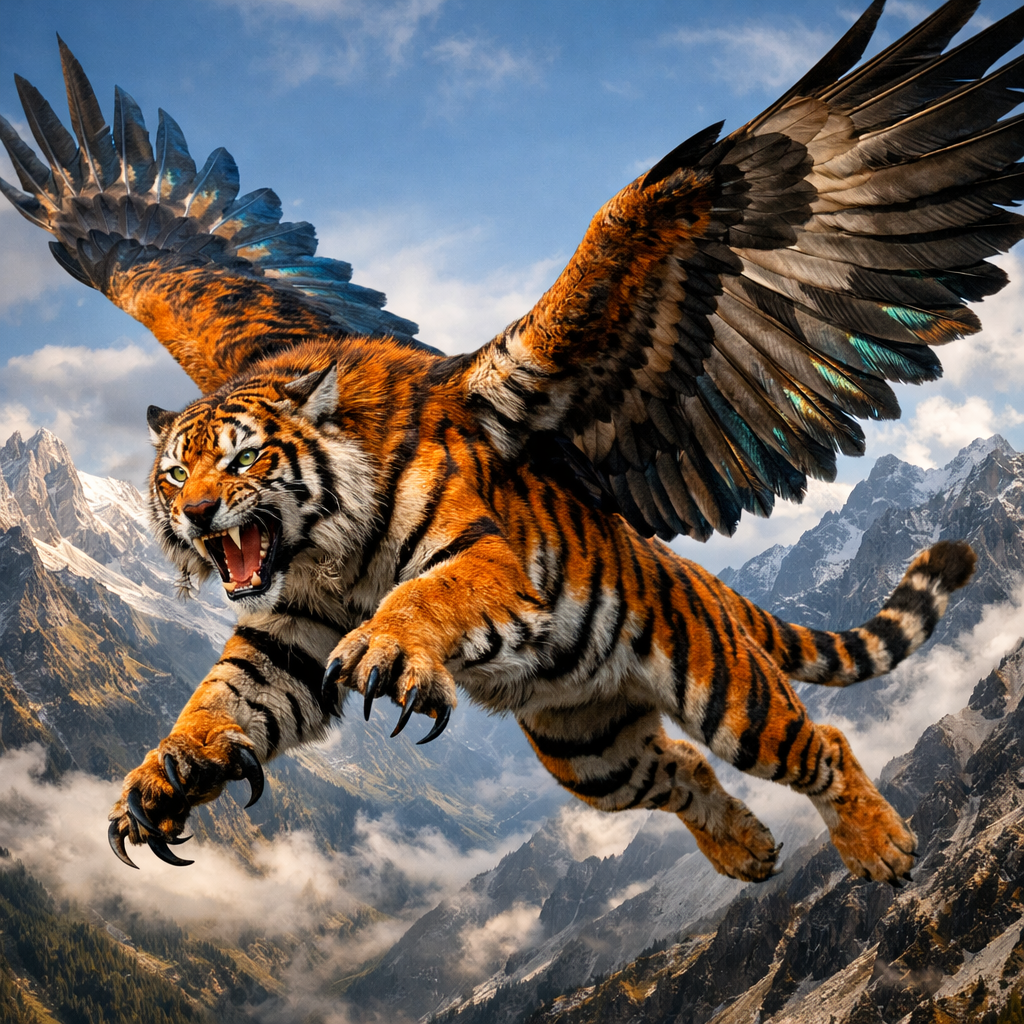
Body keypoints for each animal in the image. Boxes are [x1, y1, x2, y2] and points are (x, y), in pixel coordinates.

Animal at [1, 1, 1016, 885]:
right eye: (174, 475)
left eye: (244, 461)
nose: (200, 515)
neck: (325, 550)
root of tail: (689, 572)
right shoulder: (290, 628)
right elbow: (226, 691)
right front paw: (167, 771)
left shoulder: (480, 555)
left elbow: (427, 595)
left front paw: (388, 651)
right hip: (587, 748)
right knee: (680, 770)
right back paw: (748, 853)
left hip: (727, 689)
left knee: (818, 744)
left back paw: (884, 849)